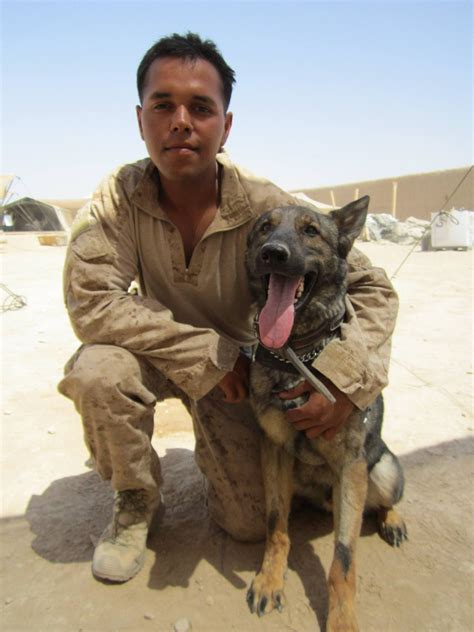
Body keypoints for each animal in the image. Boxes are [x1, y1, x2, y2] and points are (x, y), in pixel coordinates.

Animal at [244, 195, 408, 628]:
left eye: (311, 231)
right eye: (264, 229)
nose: (273, 253)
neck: (299, 355)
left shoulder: (351, 466)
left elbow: (343, 561)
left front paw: (342, 619)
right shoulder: (273, 451)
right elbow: (276, 525)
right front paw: (270, 579)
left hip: (381, 470)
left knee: (385, 499)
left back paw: (393, 520)